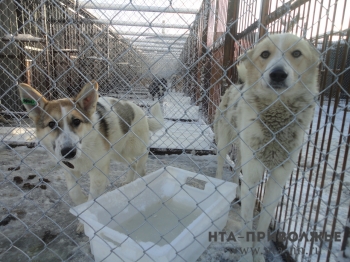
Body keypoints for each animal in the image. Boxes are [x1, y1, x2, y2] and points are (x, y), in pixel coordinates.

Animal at [19, 81, 165, 232]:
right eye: (52, 124)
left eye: (76, 121)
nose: (68, 152)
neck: (83, 149)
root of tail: (138, 109)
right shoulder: (70, 171)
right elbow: (74, 193)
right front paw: (82, 202)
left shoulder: (98, 173)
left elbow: (91, 201)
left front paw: (84, 223)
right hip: (116, 152)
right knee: (132, 163)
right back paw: (129, 181)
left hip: (134, 147)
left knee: (143, 157)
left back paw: (142, 175)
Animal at [213, 33, 320, 262]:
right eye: (264, 54)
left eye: (296, 53)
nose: (278, 74)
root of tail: (236, 85)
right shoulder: (253, 175)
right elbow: (246, 225)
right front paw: (246, 257)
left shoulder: (277, 181)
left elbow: (262, 226)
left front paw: (259, 256)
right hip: (225, 141)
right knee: (220, 164)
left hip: (242, 149)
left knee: (236, 169)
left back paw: (235, 190)